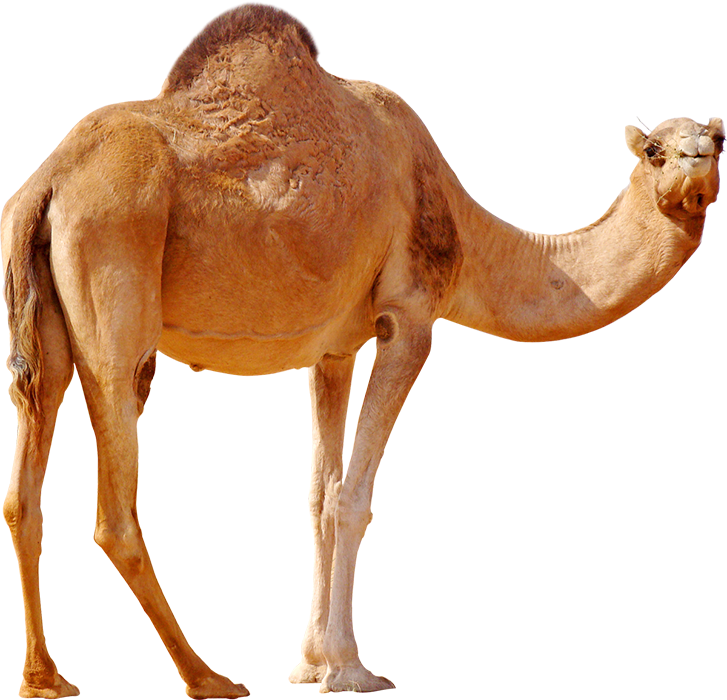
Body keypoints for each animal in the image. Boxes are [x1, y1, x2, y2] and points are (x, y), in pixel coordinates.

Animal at [1, 2, 723, 698]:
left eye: (717, 140)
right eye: (654, 150)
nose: (694, 165)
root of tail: (47, 181)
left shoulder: (333, 351)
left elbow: (319, 493)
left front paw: (308, 664)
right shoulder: (408, 318)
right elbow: (353, 497)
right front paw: (350, 670)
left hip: (44, 322)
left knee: (24, 487)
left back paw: (47, 679)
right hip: (115, 274)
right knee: (115, 503)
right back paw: (208, 677)